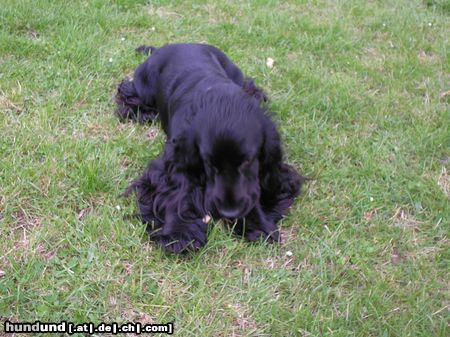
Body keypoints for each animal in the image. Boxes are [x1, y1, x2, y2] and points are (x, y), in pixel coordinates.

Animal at [118, 42, 304, 252]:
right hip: (144, 86)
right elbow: (175, 190)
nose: (229, 212)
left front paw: (258, 225)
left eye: (249, 160)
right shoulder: (175, 156)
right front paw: (179, 232)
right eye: (208, 162)